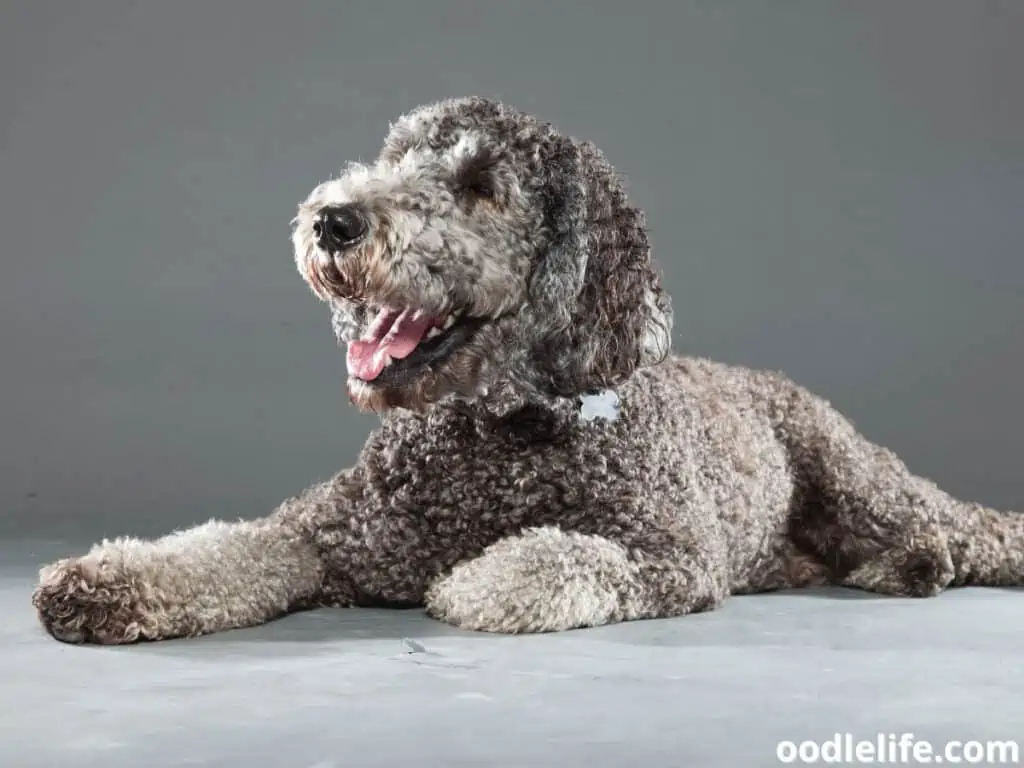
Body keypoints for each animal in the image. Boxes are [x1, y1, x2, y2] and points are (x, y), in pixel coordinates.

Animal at [32, 99, 1024, 647]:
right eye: (394, 161)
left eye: (478, 186)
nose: (334, 219)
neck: (495, 436)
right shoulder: (321, 533)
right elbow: (221, 549)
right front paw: (107, 582)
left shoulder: (670, 555)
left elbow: (557, 557)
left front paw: (478, 579)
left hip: (854, 473)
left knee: (964, 526)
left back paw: (929, 557)